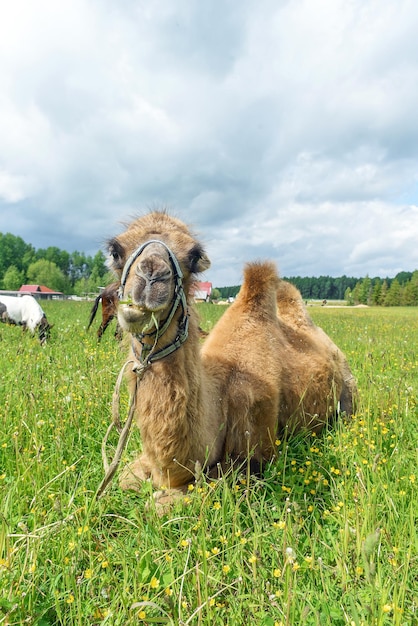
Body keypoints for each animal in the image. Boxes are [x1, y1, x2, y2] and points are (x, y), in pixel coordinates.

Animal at [106, 210, 358, 502]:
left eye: (194, 255)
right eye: (115, 251)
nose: (151, 276)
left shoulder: (257, 450)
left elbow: (166, 501)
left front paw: (162, 498)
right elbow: (124, 478)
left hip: (349, 390)